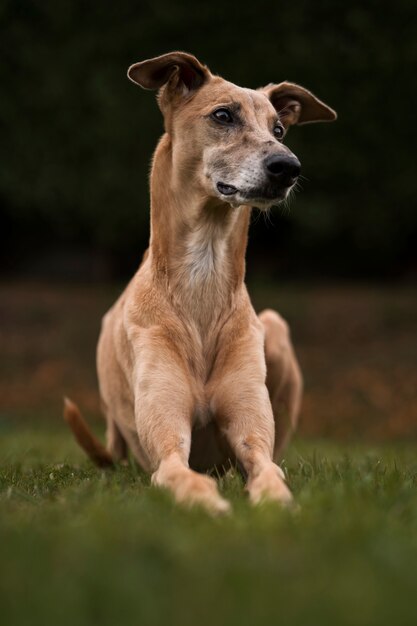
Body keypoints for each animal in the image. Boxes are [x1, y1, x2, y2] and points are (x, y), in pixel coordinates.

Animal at [66, 52, 338, 512]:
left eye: (278, 129)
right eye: (223, 115)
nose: (288, 167)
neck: (202, 287)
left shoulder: (253, 436)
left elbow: (270, 471)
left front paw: (276, 503)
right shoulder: (167, 446)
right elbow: (179, 473)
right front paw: (209, 505)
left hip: (275, 328)